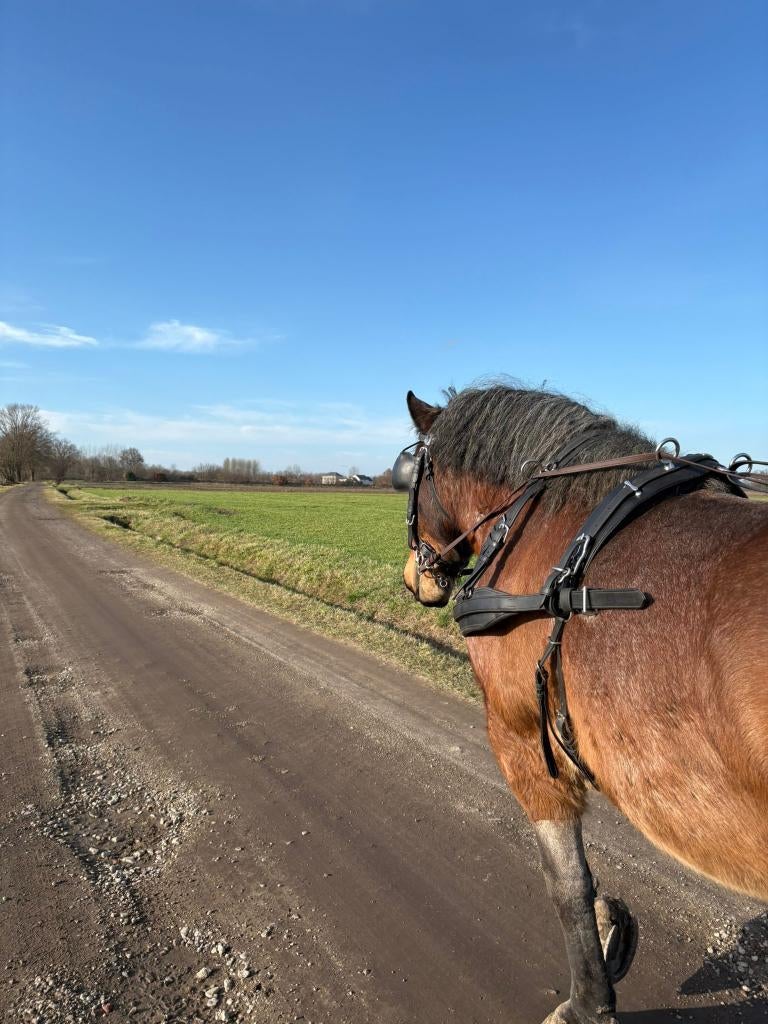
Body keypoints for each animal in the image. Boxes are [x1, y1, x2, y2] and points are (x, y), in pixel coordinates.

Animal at [395, 383, 768, 1024]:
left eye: (412, 477)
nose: (412, 579)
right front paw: (610, 933)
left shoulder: (521, 735)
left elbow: (567, 881)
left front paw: (590, 1000)